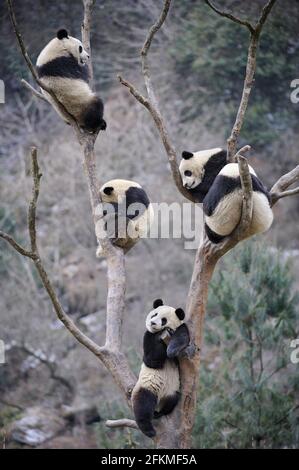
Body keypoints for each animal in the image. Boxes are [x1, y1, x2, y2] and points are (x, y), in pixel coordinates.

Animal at [133, 300, 191, 438]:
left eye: (164, 320)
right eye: (154, 314)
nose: (153, 323)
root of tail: (159, 402)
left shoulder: (181, 329)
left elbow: (182, 338)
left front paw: (171, 350)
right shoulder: (148, 336)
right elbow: (151, 360)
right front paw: (159, 336)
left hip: (171, 391)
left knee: (171, 401)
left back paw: (159, 413)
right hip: (147, 386)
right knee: (143, 404)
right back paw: (148, 429)